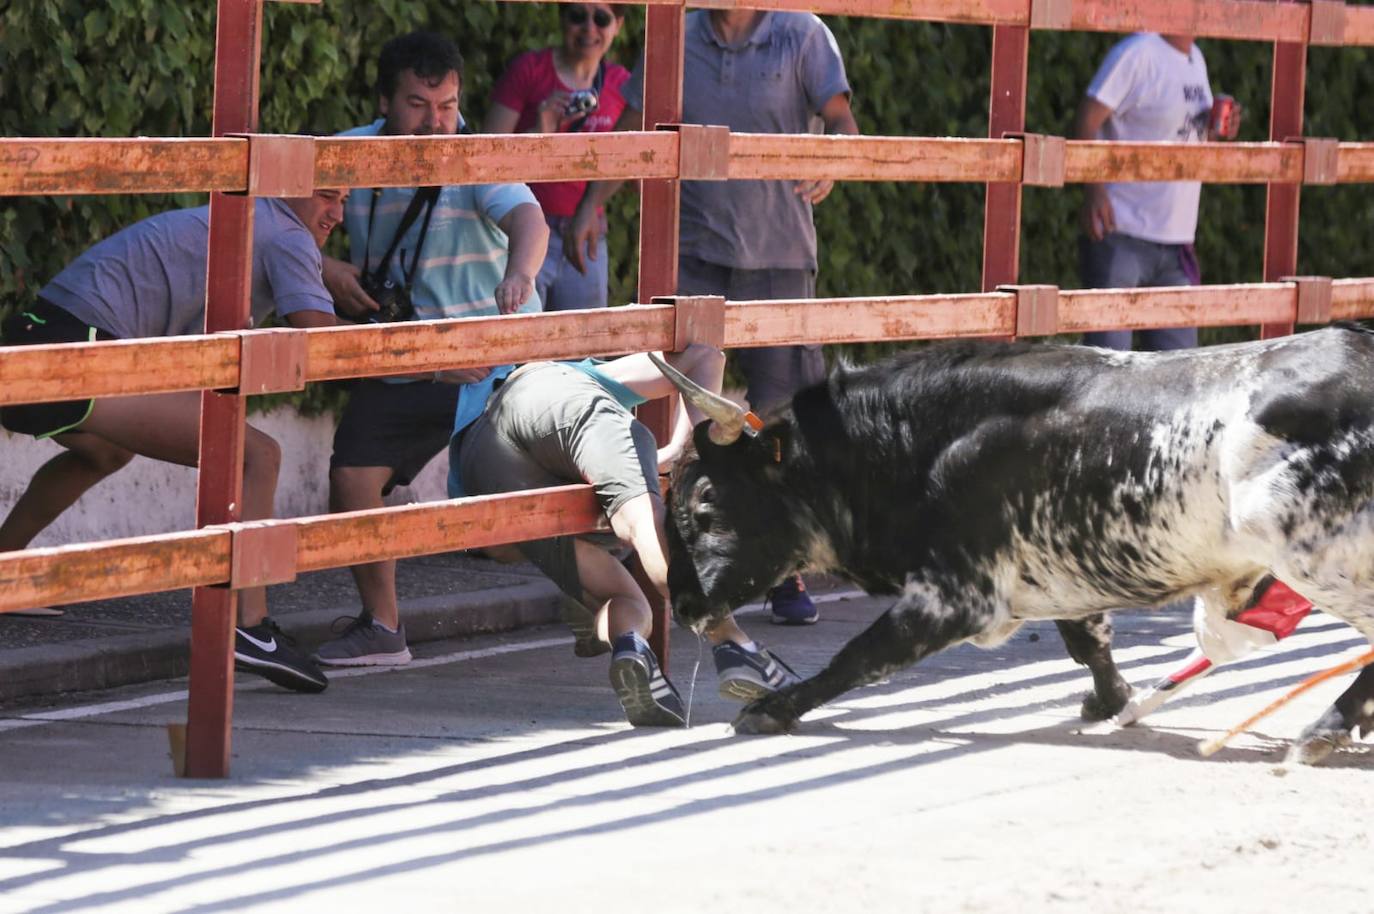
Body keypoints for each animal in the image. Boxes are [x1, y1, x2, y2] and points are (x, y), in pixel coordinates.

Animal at [648, 328, 1374, 764]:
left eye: (704, 502)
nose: (682, 605)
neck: (930, 441)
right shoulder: (1056, 571)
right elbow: (1088, 641)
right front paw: (1111, 701)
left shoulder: (956, 594)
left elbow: (860, 656)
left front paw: (773, 709)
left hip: (1319, 561)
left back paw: (1324, 729)